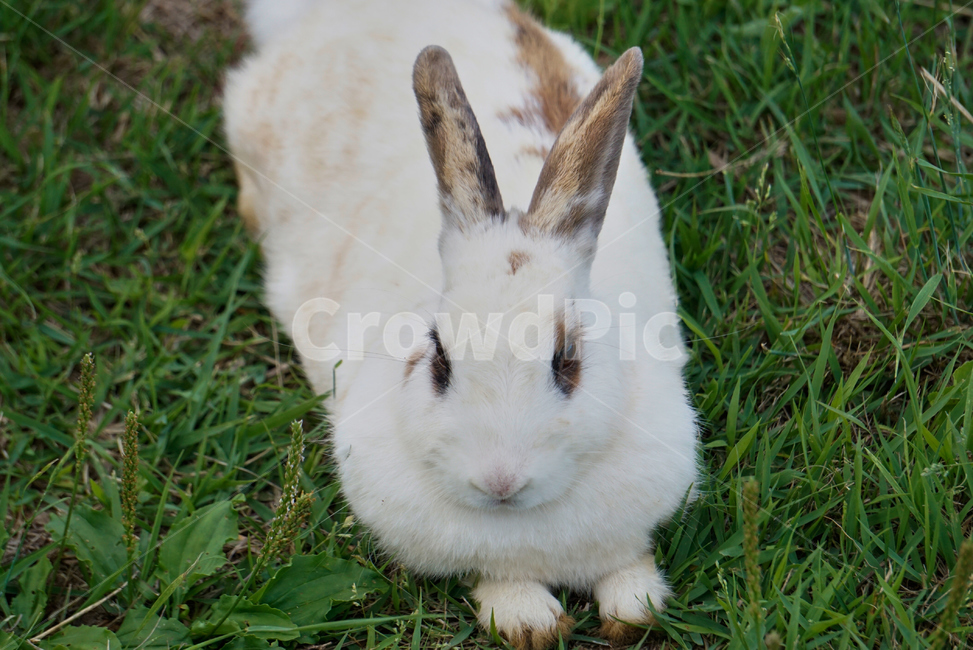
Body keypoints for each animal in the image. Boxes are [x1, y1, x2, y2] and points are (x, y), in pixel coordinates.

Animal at [223, 0, 699, 647]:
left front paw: (633, 612)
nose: (500, 481)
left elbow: (630, 577)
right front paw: (534, 622)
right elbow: (500, 583)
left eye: (567, 360)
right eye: (439, 358)